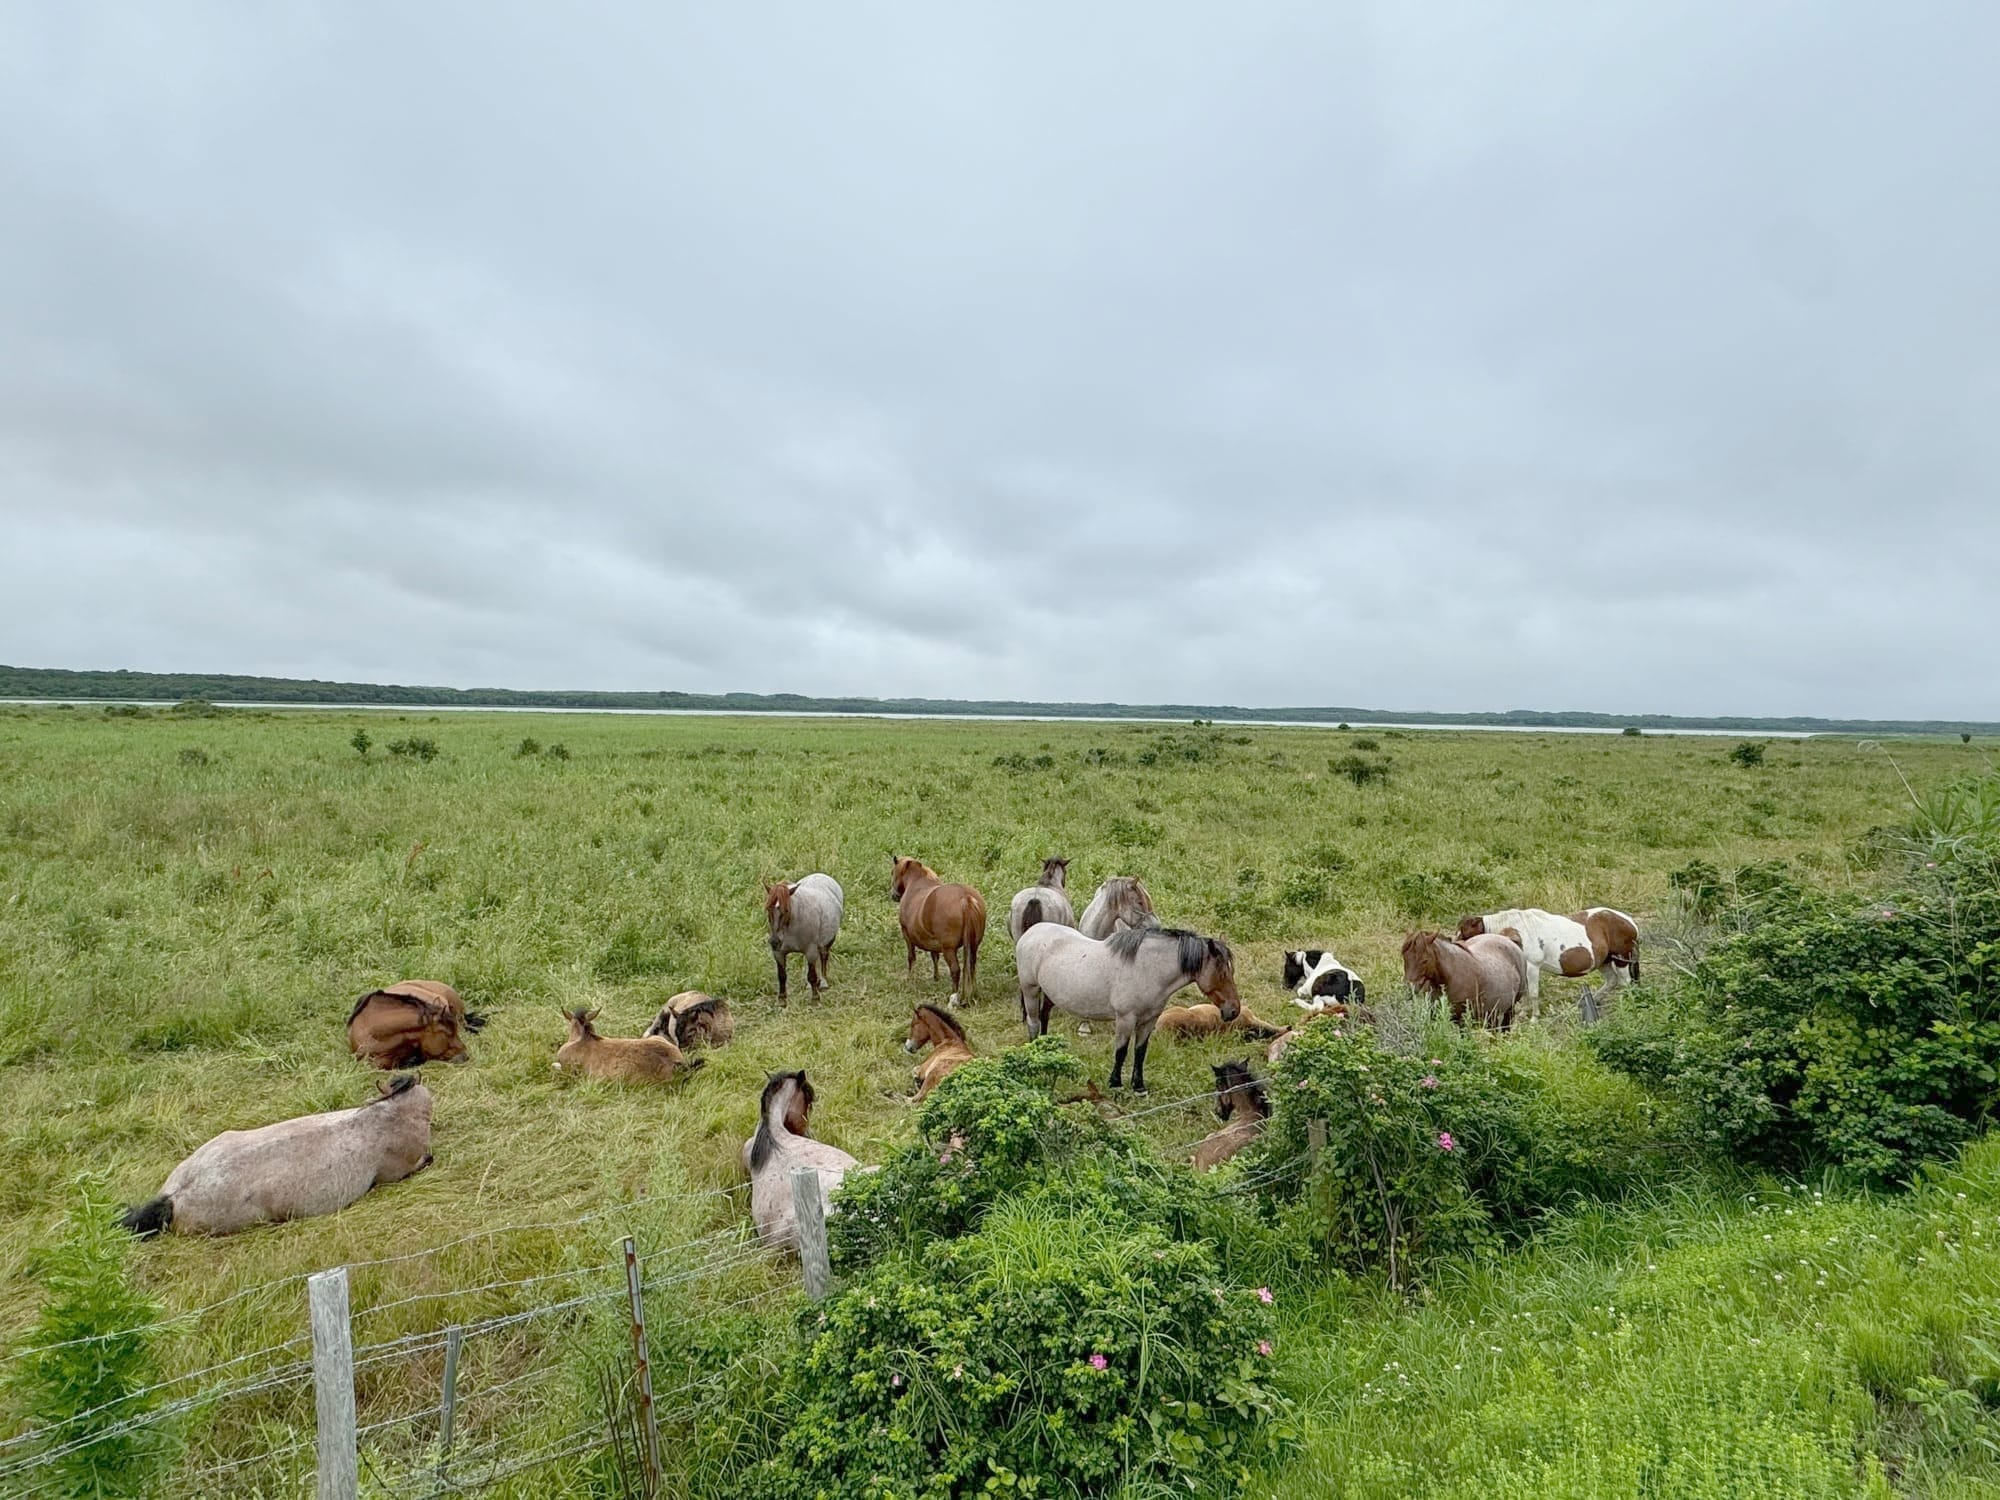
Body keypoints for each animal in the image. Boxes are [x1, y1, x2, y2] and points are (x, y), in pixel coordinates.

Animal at [766, 874, 844, 1003]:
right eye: (768, 909)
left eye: (786, 910)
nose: (774, 942)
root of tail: (821, 875)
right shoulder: (779, 953)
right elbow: (782, 976)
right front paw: (782, 1000)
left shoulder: (810, 950)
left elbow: (812, 976)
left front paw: (815, 999)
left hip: (826, 942)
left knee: (824, 957)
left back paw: (823, 982)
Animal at [891, 857, 987, 1006]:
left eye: (893, 872)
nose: (894, 896)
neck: (916, 882)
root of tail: (966, 899)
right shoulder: (933, 941)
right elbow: (934, 956)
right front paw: (936, 978)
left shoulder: (906, 934)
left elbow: (911, 957)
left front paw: (910, 979)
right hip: (973, 946)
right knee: (971, 967)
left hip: (949, 949)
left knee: (955, 970)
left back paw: (954, 997)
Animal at [1016, 923, 1240, 1092]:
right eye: (1222, 972)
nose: (1234, 1010)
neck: (1147, 969)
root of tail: (1032, 931)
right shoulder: (1125, 1018)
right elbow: (1121, 1051)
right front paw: (1115, 1083)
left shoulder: (1149, 1019)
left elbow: (1140, 1051)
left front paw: (1138, 1086)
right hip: (1030, 989)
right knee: (1034, 1022)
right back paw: (1035, 1054)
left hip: (1050, 993)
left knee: (1044, 1016)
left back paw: (1046, 1049)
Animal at [1457, 907, 1639, 1016]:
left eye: (1464, 932)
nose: (1458, 947)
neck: (1515, 931)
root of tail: (1631, 922)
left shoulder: (1532, 967)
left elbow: (1533, 993)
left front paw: (1534, 1018)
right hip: (1604, 961)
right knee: (1612, 981)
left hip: (1622, 959)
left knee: (1625, 983)